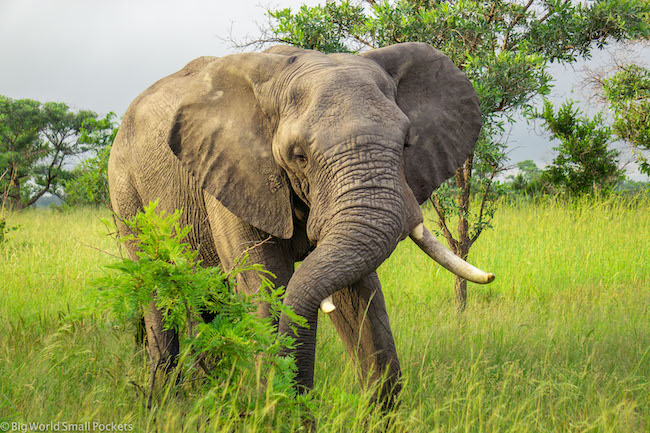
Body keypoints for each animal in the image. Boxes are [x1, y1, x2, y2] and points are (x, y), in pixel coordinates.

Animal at [107, 42, 492, 404]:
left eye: (407, 144)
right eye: (298, 156)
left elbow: (360, 297)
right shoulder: (233, 175)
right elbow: (267, 286)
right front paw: (278, 410)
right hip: (125, 190)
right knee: (155, 288)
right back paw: (165, 402)